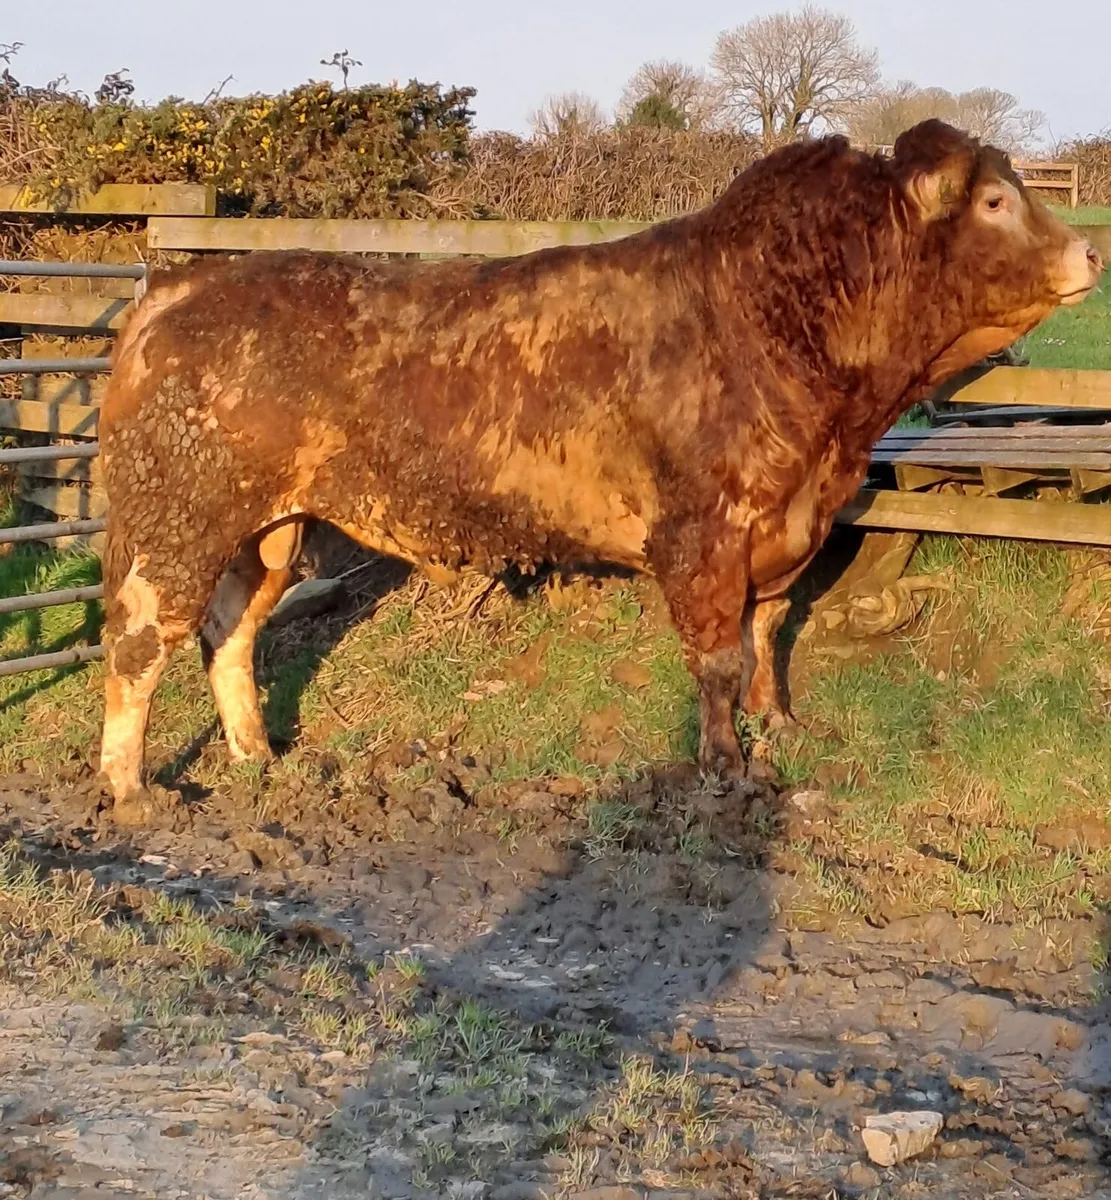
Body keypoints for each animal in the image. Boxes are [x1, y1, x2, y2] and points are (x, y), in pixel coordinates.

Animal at [95, 119, 1102, 819]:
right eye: (994, 202)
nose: (1089, 249)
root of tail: (183, 283)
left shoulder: (786, 530)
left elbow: (766, 633)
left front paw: (779, 723)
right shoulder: (701, 537)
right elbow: (717, 660)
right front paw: (725, 765)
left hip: (266, 531)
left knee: (228, 632)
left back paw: (256, 753)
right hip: (179, 524)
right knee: (140, 641)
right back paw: (132, 789)